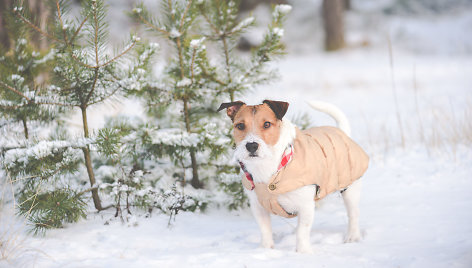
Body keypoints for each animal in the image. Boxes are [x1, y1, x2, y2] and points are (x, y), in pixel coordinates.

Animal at [218, 100, 368, 253]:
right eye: (240, 126)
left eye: (267, 124)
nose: (251, 145)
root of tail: (342, 132)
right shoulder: (258, 206)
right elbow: (265, 230)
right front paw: (265, 249)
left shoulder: (305, 206)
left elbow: (302, 231)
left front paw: (302, 252)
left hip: (350, 189)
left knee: (353, 214)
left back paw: (352, 236)